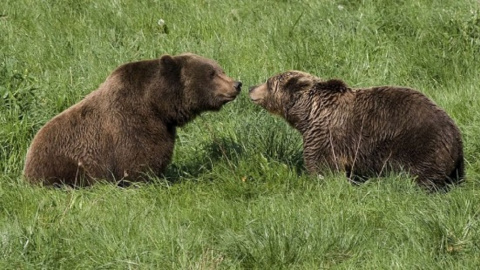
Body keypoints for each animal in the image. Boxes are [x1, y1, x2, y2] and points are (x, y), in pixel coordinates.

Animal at [24, 53, 242, 187]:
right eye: (211, 73)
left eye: (220, 69)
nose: (237, 84)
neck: (156, 105)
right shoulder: (131, 124)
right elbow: (139, 160)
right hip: (64, 165)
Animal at [249, 70, 464, 191]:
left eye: (268, 82)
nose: (251, 87)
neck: (307, 115)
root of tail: (457, 136)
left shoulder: (325, 137)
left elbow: (323, 166)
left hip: (420, 146)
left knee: (422, 177)